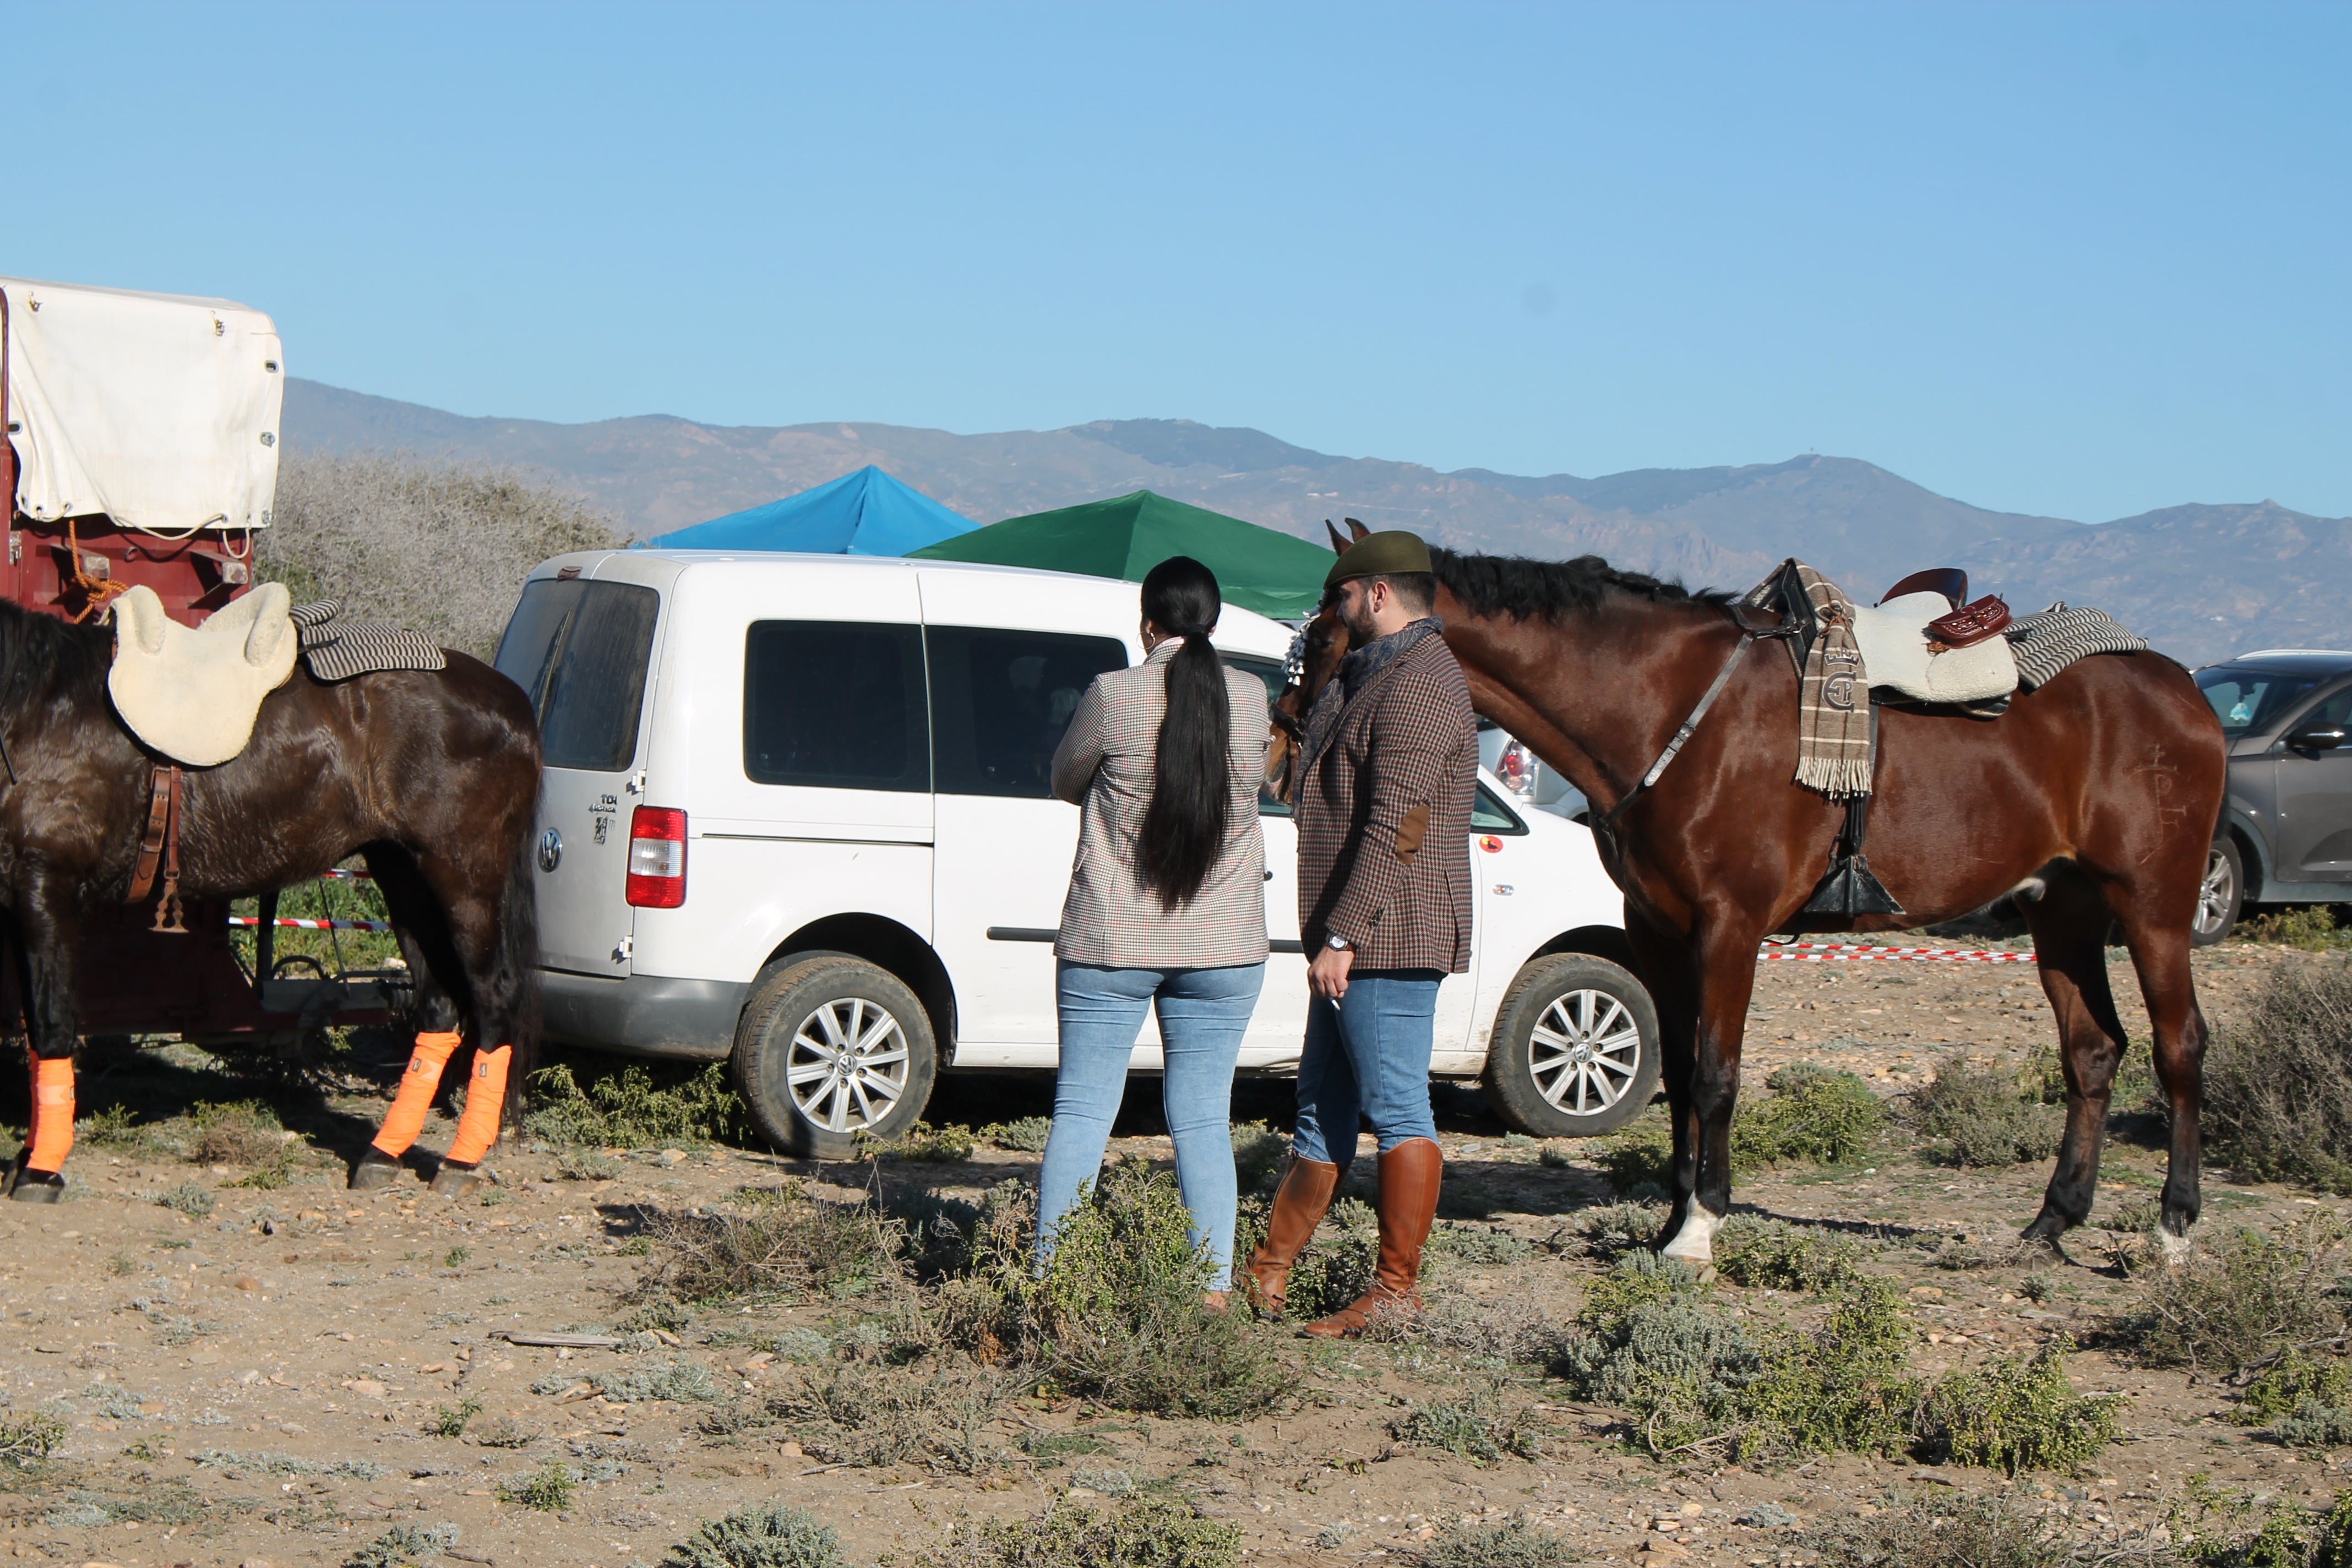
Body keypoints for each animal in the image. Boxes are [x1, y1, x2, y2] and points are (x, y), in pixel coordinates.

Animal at [0, 602, 538, 1204]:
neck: (38, 708)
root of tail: (512, 699)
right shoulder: (17, 897)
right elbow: (33, 1022)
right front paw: (27, 1159)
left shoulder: (46, 884)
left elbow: (51, 1021)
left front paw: (41, 1169)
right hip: (402, 875)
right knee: (440, 1004)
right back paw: (384, 1153)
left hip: (464, 880)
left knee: (494, 999)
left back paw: (461, 1160)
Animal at [1279, 533, 2229, 1269]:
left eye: (1325, 627)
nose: (1289, 727)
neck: (1668, 709)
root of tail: (2180, 687)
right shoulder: (1657, 932)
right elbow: (1683, 1076)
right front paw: (1670, 1220)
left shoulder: (1729, 928)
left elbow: (1716, 1073)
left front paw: (1701, 1228)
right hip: (2061, 908)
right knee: (2093, 1053)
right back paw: (2051, 1222)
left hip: (2153, 906)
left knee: (2179, 1046)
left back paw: (2174, 1229)